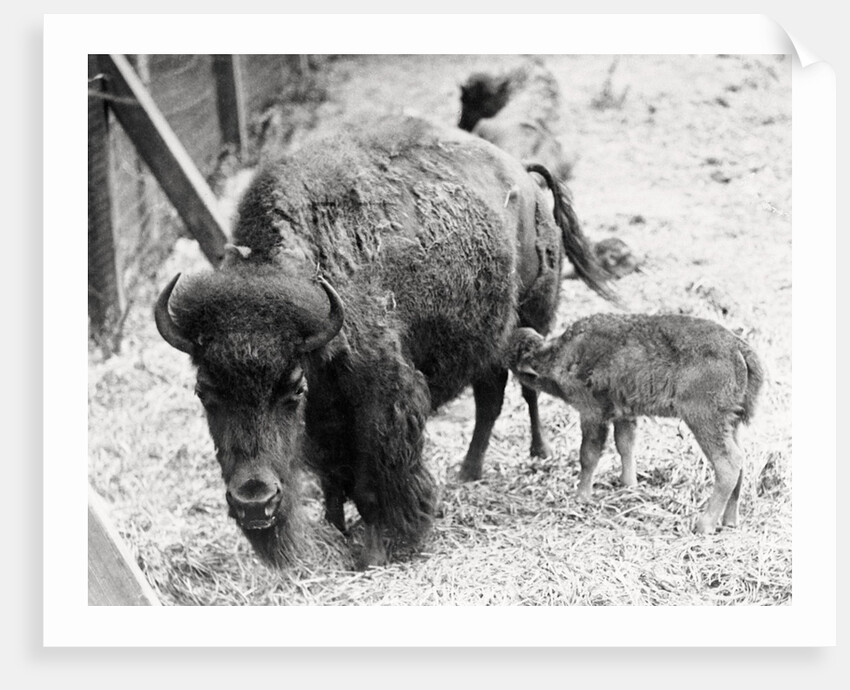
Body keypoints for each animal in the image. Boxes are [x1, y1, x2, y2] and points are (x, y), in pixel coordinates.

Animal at [155, 115, 613, 568]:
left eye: (293, 388)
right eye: (204, 391)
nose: (254, 502)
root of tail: (524, 173)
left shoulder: (381, 401)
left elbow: (370, 482)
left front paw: (376, 551)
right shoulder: (324, 423)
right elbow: (333, 478)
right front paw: (337, 529)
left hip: (534, 316)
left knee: (524, 390)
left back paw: (537, 451)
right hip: (491, 342)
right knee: (489, 398)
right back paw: (469, 471)